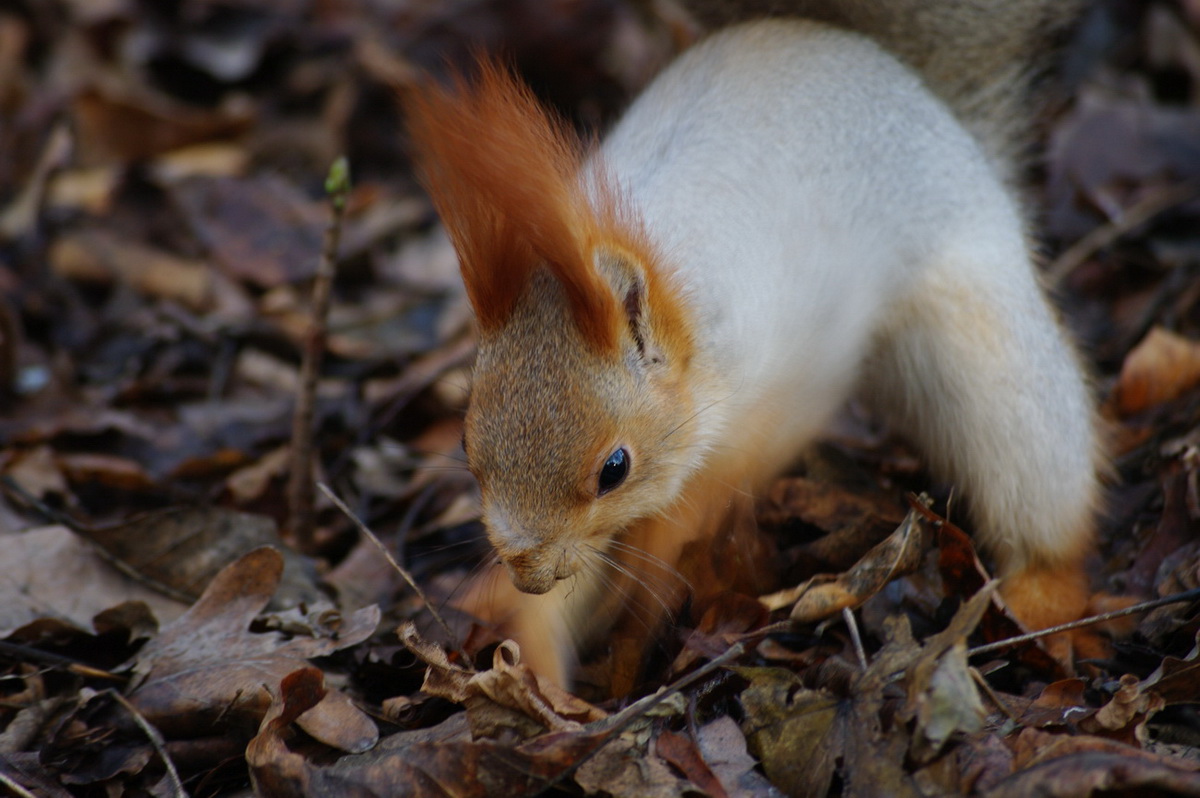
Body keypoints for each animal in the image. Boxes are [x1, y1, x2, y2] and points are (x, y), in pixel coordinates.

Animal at [405, 0, 1104, 686]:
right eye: (466, 442)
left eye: (615, 469)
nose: (527, 572)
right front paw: (531, 646)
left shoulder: (800, 368)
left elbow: (724, 484)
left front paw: (660, 557)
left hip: (986, 353)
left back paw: (1045, 597)